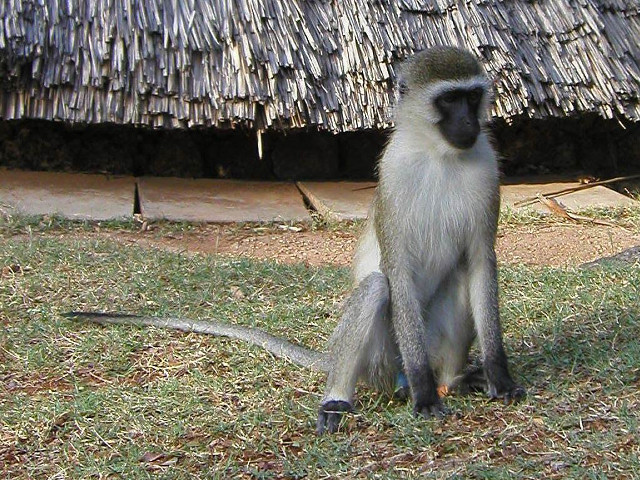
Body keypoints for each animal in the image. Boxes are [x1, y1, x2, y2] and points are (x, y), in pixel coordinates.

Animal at [69, 46, 525, 435]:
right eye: (448, 101)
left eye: (472, 97)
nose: (468, 123)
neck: (438, 155)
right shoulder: (392, 175)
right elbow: (396, 269)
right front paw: (425, 395)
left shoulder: (487, 171)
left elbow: (481, 262)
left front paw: (499, 375)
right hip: (382, 362)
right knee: (377, 288)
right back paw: (347, 396)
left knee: (461, 278)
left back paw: (453, 379)